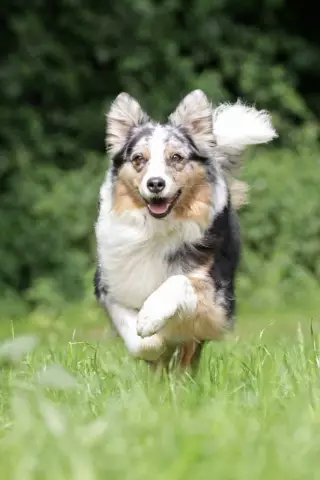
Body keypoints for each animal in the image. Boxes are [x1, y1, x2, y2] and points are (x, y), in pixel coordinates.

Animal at [93, 90, 278, 368]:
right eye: (138, 159)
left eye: (176, 157)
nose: (155, 183)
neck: (157, 229)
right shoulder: (111, 287)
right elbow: (143, 343)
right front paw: (151, 339)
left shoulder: (214, 300)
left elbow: (179, 282)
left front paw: (150, 316)